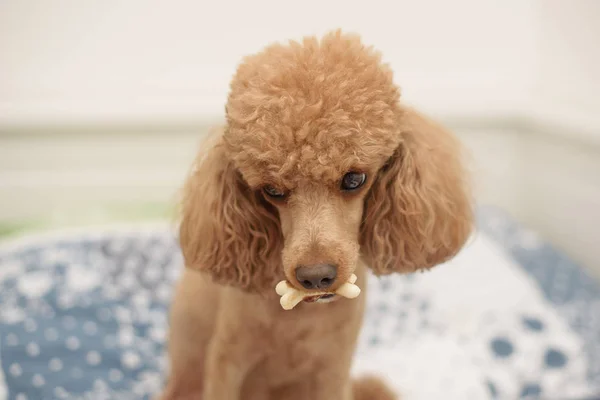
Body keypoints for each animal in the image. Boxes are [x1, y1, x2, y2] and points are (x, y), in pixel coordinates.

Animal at [161, 31, 474, 400]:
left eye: (355, 179)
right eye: (272, 190)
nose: (315, 277)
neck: (302, 318)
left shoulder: (333, 370)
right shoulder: (228, 362)